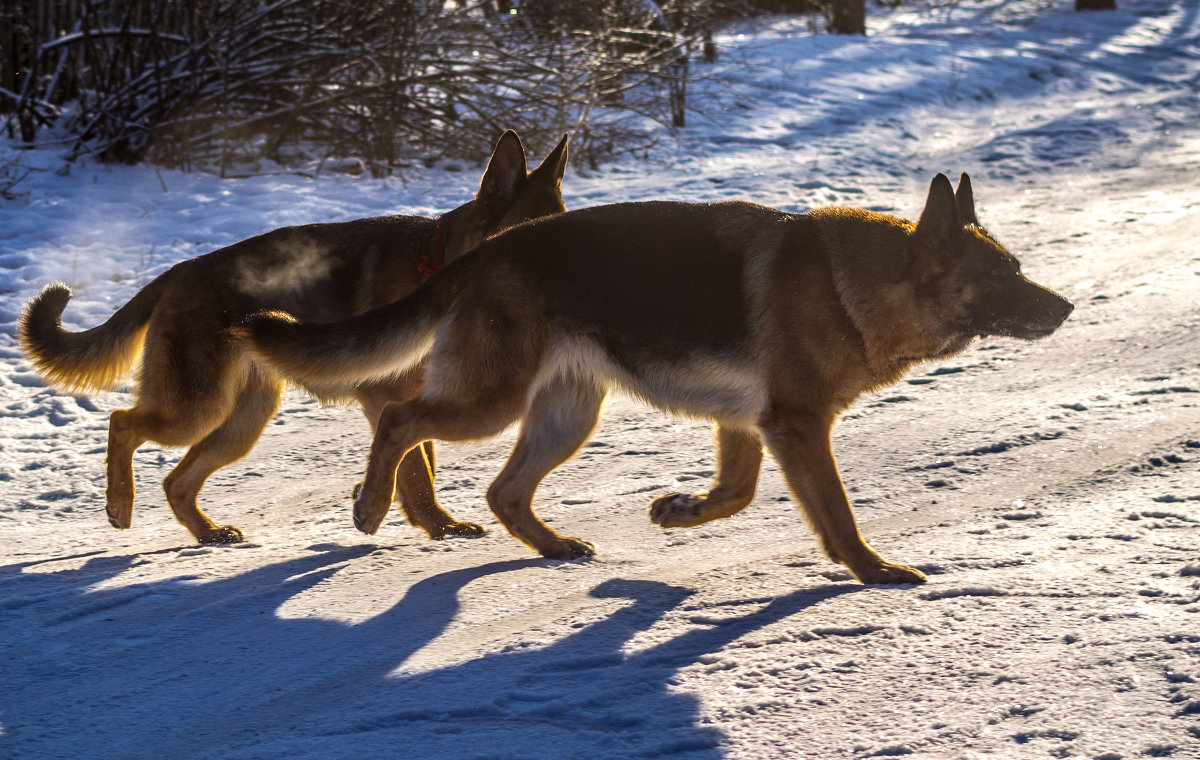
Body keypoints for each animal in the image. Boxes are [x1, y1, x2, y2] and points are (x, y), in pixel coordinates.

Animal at [18, 130, 571, 545]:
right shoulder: (386, 395)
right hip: (200, 407)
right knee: (123, 423)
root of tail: (178, 272)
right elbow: (416, 468)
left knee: (176, 480)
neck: (439, 263)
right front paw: (437, 525)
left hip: (242, 419)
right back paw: (119, 504)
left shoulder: (421, 398)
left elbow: (417, 461)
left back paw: (207, 532)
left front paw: (414, 515)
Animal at [238, 172, 1075, 585]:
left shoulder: (749, 423)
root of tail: (488, 250)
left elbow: (734, 495)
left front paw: (680, 511)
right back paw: (371, 505)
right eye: (1001, 277)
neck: (858, 285)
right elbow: (835, 514)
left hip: (566, 417)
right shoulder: (795, 425)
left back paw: (550, 546)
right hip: (492, 403)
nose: (1067, 307)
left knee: (503, 490)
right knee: (400, 420)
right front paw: (873, 571)